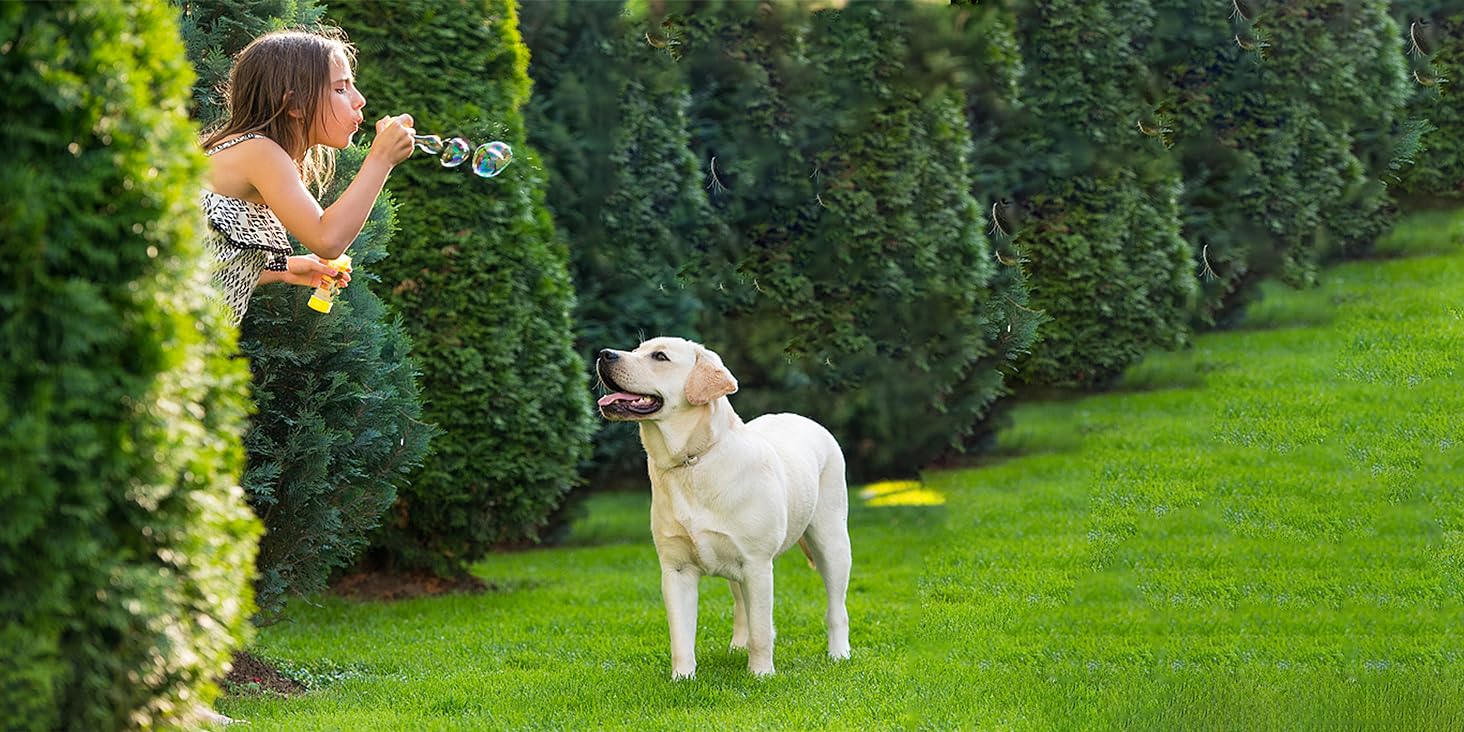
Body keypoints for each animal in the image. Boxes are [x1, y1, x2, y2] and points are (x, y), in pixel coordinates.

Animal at [591, 338, 854, 679]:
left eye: (659, 356)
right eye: (637, 349)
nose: (604, 354)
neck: (691, 462)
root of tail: (805, 419)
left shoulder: (757, 564)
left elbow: (761, 629)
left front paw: (761, 675)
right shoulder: (676, 569)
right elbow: (681, 635)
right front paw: (682, 678)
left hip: (831, 540)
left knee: (836, 606)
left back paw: (839, 654)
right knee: (742, 605)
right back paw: (738, 646)